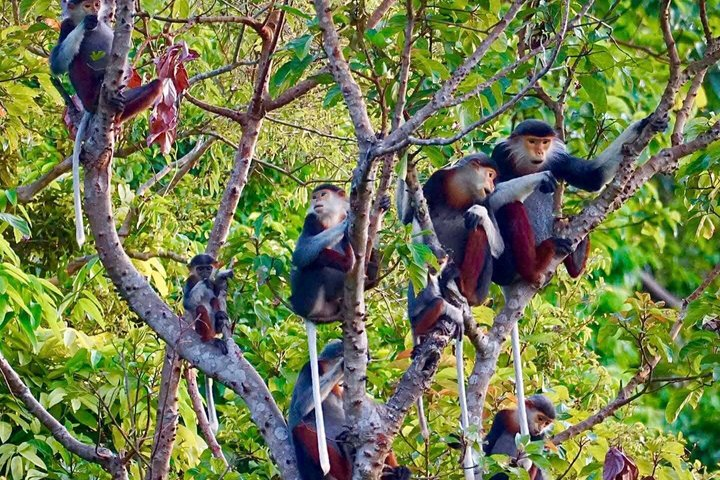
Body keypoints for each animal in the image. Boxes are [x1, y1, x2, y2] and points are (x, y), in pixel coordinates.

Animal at [50, 0, 162, 247]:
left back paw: (117, 113)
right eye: (87, 5)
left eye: (96, 4)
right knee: (75, 63)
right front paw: (86, 24)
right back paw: (99, 91)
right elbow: (57, 64)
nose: (94, 11)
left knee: (157, 85)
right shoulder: (66, 25)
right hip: (85, 93)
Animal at [183, 253, 234, 433]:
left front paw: (218, 279)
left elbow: (216, 291)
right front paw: (205, 283)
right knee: (200, 309)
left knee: (213, 301)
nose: (205, 275)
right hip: (199, 328)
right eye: (200, 268)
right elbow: (188, 303)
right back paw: (211, 339)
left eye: (208, 268)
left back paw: (219, 322)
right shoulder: (190, 280)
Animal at [289, 184, 389, 475]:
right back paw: (345, 261)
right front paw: (346, 226)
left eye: (321, 195)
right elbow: (302, 253)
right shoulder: (312, 221)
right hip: (306, 296)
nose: (315, 201)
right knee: (313, 262)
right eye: (314, 197)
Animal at [491, 116, 668, 285]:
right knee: (510, 206)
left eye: (545, 142)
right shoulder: (501, 154)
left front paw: (644, 123)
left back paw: (577, 255)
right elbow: (490, 195)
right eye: (532, 141)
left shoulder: (558, 161)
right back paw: (534, 267)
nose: (540, 152)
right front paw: (540, 178)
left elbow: (593, 176)